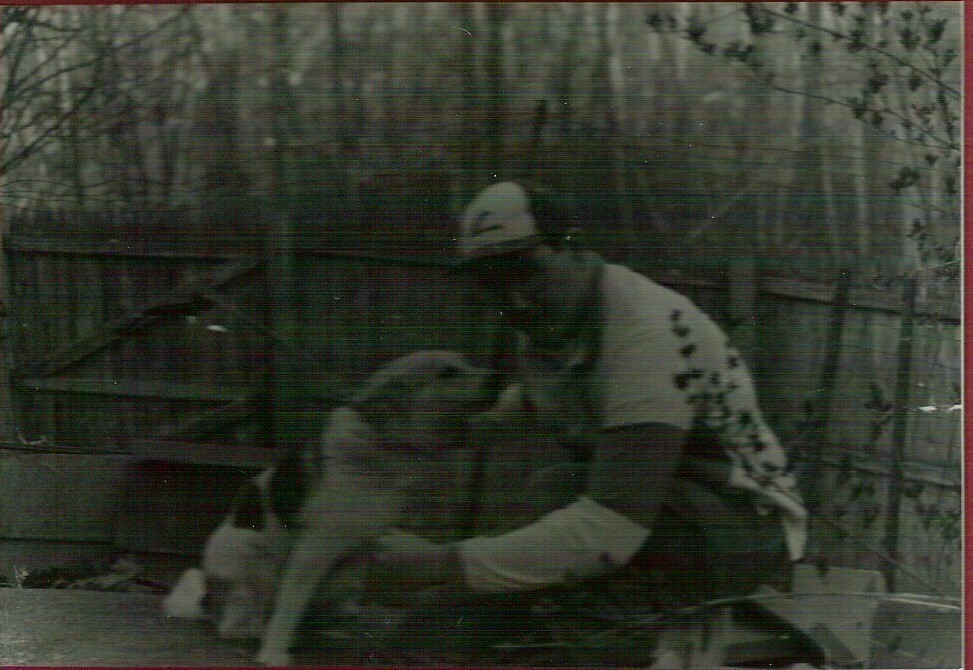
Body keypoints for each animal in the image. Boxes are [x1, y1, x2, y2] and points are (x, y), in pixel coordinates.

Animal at [166, 350, 504, 665]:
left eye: (468, 362)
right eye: (447, 373)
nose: (498, 377)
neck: (382, 444)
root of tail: (207, 598)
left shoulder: (358, 548)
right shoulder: (311, 550)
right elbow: (289, 604)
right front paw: (273, 653)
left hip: (340, 573)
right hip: (249, 554)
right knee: (240, 617)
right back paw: (253, 631)